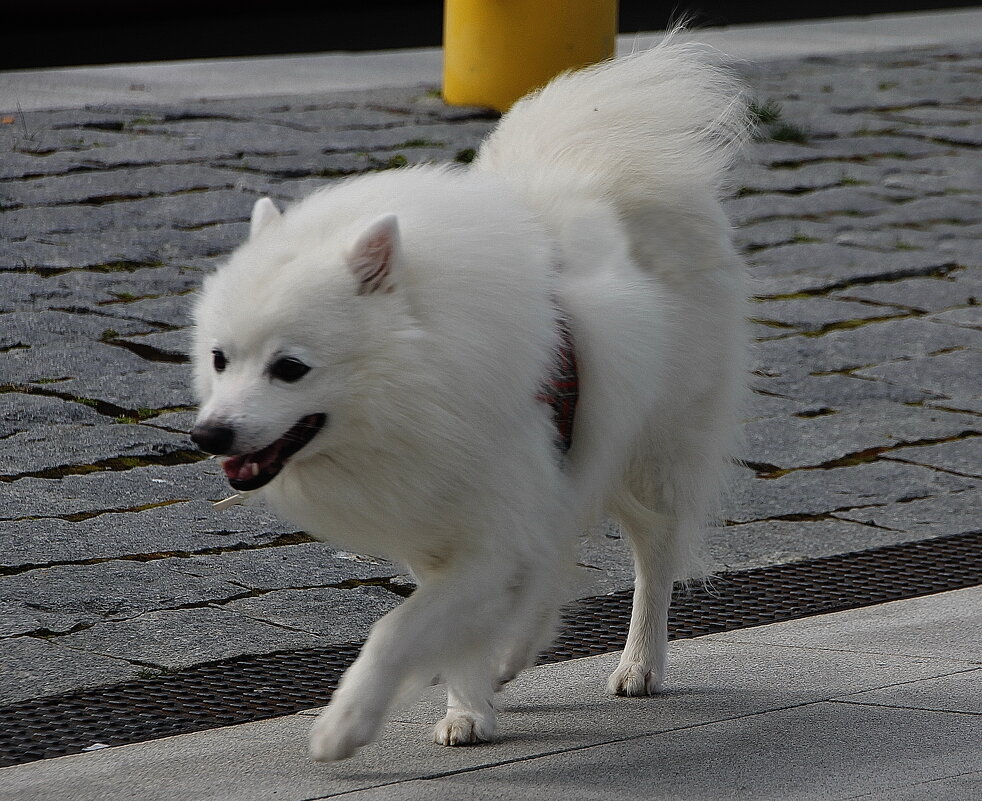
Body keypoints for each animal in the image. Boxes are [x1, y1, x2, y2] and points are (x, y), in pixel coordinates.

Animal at [188, 36, 748, 764]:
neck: (419, 380)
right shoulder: (442, 520)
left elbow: (397, 629)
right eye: (219, 359)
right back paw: (515, 656)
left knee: (654, 551)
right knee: (556, 560)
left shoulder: (493, 526)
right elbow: (453, 624)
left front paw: (345, 724)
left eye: (290, 368)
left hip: (650, 447)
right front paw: (469, 705)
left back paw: (639, 664)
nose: (210, 434)